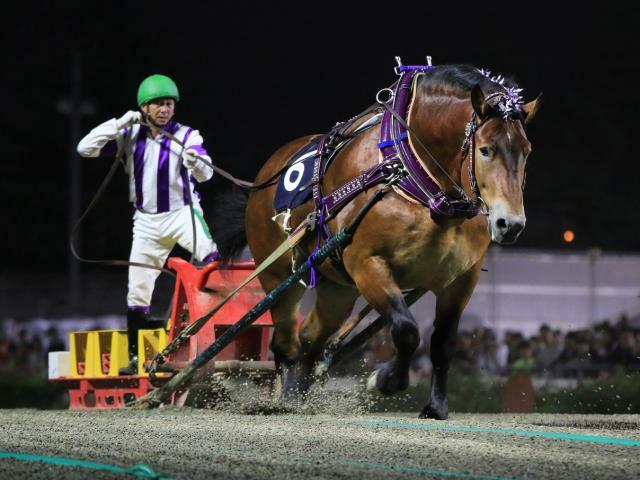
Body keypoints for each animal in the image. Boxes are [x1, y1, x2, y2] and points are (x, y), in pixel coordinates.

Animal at [216, 62, 540, 418]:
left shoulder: (461, 279)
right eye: (485, 150)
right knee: (286, 341)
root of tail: (264, 178)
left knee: (311, 337)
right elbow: (407, 330)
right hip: (280, 276)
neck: (413, 178)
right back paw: (285, 399)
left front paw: (435, 406)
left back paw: (298, 394)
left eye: (526, 151)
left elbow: (442, 343)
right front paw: (385, 379)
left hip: (337, 287)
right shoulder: (367, 265)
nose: (510, 224)